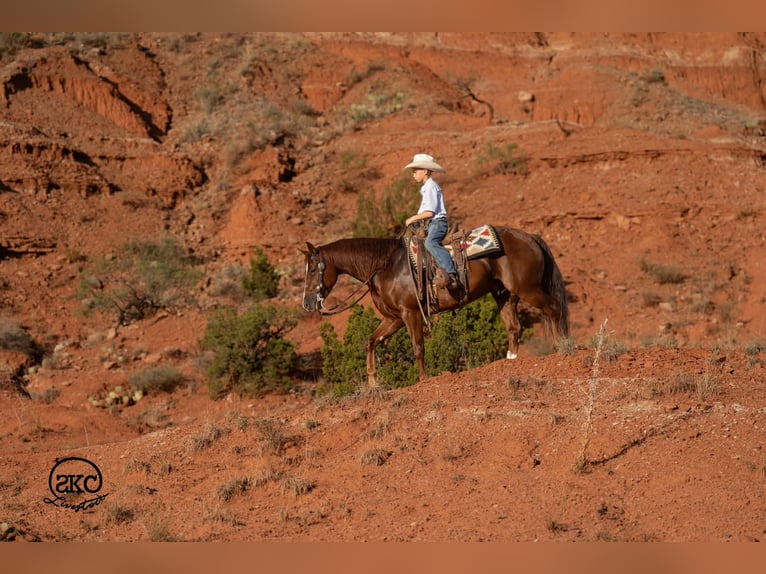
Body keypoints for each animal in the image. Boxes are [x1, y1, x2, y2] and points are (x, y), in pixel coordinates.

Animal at [301, 225, 569, 388]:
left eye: (313, 269)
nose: (307, 303)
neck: (384, 265)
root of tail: (530, 237)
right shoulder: (394, 319)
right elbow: (371, 341)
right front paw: (373, 382)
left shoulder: (410, 313)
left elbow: (418, 347)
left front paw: (423, 378)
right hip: (504, 294)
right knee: (514, 327)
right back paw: (511, 360)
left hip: (528, 289)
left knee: (554, 308)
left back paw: (561, 349)